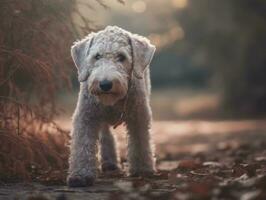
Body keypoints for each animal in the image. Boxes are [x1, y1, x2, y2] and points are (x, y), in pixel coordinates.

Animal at [67, 25, 156, 187]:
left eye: (121, 57)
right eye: (97, 56)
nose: (105, 84)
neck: (113, 102)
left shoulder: (139, 116)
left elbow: (141, 142)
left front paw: (142, 169)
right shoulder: (85, 116)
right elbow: (82, 145)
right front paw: (80, 175)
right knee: (106, 134)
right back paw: (109, 162)